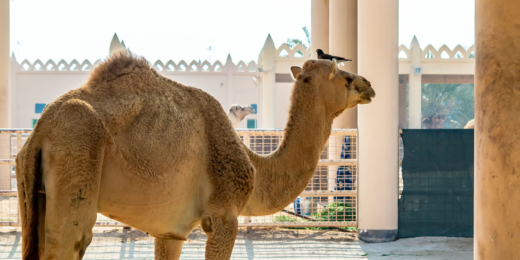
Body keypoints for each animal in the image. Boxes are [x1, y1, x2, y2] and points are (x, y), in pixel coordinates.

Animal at [15, 51, 374, 260]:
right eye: (346, 77)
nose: (369, 85)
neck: (255, 167)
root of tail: (41, 129)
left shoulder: (170, 231)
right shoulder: (223, 217)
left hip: (31, 187)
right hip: (78, 150)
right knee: (70, 240)